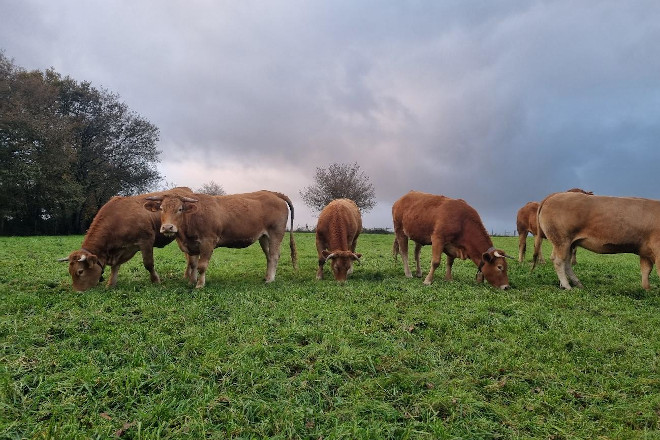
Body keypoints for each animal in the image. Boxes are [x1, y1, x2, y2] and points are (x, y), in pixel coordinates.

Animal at [60, 187, 194, 292]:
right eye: (70, 272)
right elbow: (115, 267)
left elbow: (148, 264)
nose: (78, 291)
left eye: (80, 271)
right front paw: (110, 284)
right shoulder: (120, 250)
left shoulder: (146, 241)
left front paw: (156, 280)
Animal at [143, 190, 298, 288]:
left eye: (180, 209)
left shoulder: (208, 242)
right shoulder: (192, 246)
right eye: (161, 208)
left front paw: (200, 284)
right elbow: (193, 264)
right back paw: (266, 277)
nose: (167, 227)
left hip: (276, 233)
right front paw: (191, 282)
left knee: (274, 255)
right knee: (269, 256)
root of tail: (273, 193)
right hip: (264, 237)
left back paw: (270, 280)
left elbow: (202, 265)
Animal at [532, 191, 660, 290]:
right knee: (559, 262)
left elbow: (646, 271)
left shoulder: (645, 252)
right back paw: (567, 286)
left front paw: (647, 289)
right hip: (562, 240)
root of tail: (555, 195)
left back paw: (577, 284)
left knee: (566, 262)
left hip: (568, 243)